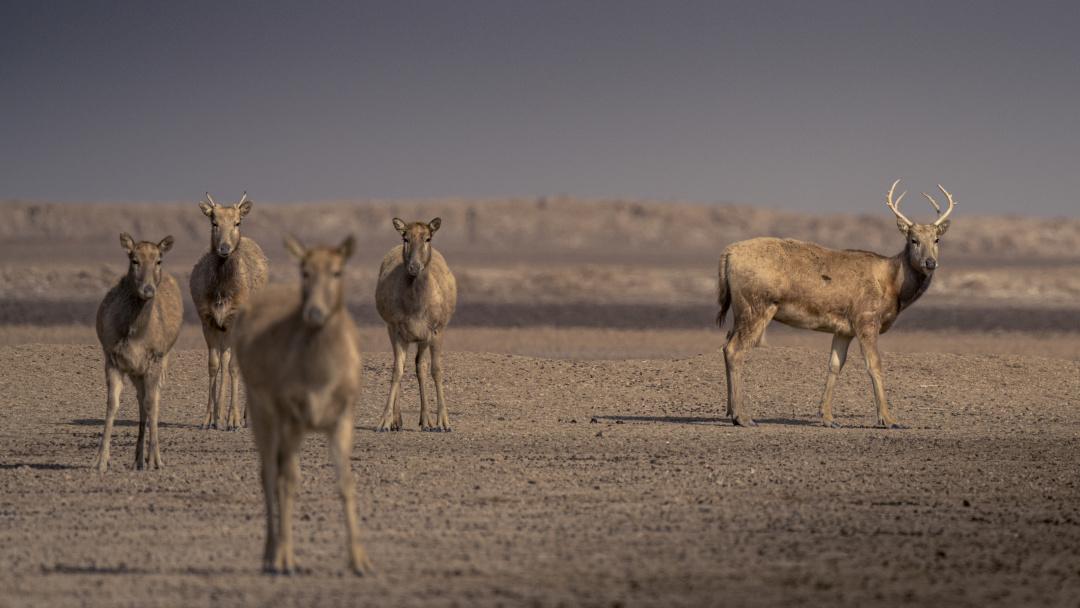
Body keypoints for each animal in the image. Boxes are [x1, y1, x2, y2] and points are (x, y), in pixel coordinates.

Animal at [96, 233, 184, 470]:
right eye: (134, 260)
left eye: (159, 260)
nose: (148, 290)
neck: (135, 335)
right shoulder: (112, 358)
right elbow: (112, 404)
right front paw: (101, 461)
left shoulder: (155, 358)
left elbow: (151, 404)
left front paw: (156, 461)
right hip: (136, 372)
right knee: (141, 400)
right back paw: (137, 459)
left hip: (161, 362)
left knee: (153, 400)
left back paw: (150, 458)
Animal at [190, 192, 267, 429]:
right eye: (213, 222)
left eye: (237, 222)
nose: (224, 248)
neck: (221, 291)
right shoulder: (207, 321)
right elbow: (214, 365)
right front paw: (208, 418)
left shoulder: (234, 320)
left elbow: (234, 366)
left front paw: (234, 419)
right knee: (224, 360)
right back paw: (219, 416)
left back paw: (244, 417)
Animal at [232, 233, 371, 574]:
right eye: (304, 271)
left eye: (337, 270)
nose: (315, 313)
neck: (322, 373)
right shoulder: (293, 420)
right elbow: (288, 481)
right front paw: (285, 557)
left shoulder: (341, 422)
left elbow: (346, 481)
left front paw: (359, 560)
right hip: (264, 416)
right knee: (269, 473)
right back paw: (271, 554)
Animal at [375, 219, 455, 431]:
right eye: (405, 238)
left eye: (428, 238)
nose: (414, 267)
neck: (416, 306)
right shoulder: (396, 330)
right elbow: (397, 371)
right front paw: (385, 422)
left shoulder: (436, 331)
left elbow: (435, 370)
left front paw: (443, 422)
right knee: (406, 366)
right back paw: (400, 420)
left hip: (423, 340)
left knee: (421, 367)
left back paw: (426, 420)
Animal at [717, 179, 954, 427]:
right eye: (913, 240)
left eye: (936, 239)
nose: (930, 262)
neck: (892, 286)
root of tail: (727, 254)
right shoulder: (866, 318)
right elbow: (874, 365)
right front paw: (888, 419)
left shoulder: (844, 329)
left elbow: (835, 365)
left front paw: (828, 417)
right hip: (756, 305)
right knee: (735, 349)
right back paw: (743, 417)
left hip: (740, 309)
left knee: (726, 343)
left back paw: (730, 411)